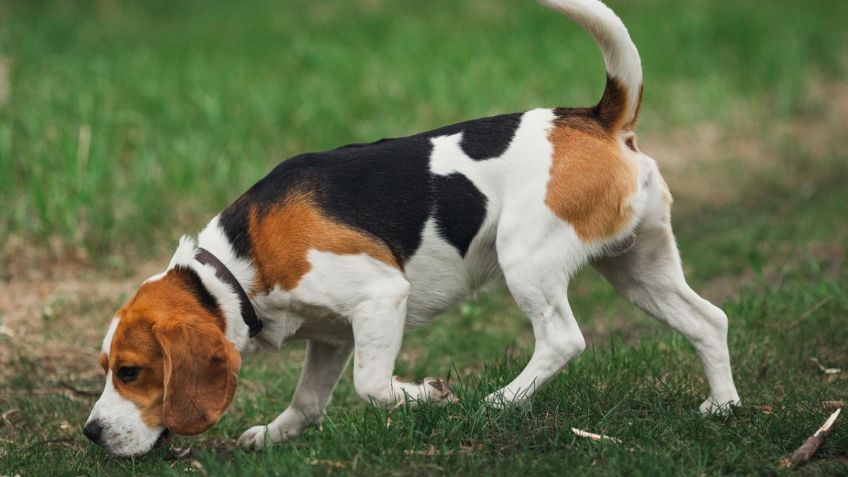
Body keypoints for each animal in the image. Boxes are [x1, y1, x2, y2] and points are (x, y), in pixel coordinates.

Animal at [83, 0, 740, 454]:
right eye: (107, 369)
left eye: (132, 372)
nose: (91, 432)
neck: (238, 265)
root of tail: (596, 118)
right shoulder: (329, 336)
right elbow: (308, 401)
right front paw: (273, 433)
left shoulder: (380, 298)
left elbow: (372, 385)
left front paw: (427, 397)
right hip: (637, 266)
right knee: (709, 320)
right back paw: (724, 408)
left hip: (526, 259)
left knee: (561, 339)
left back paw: (497, 403)